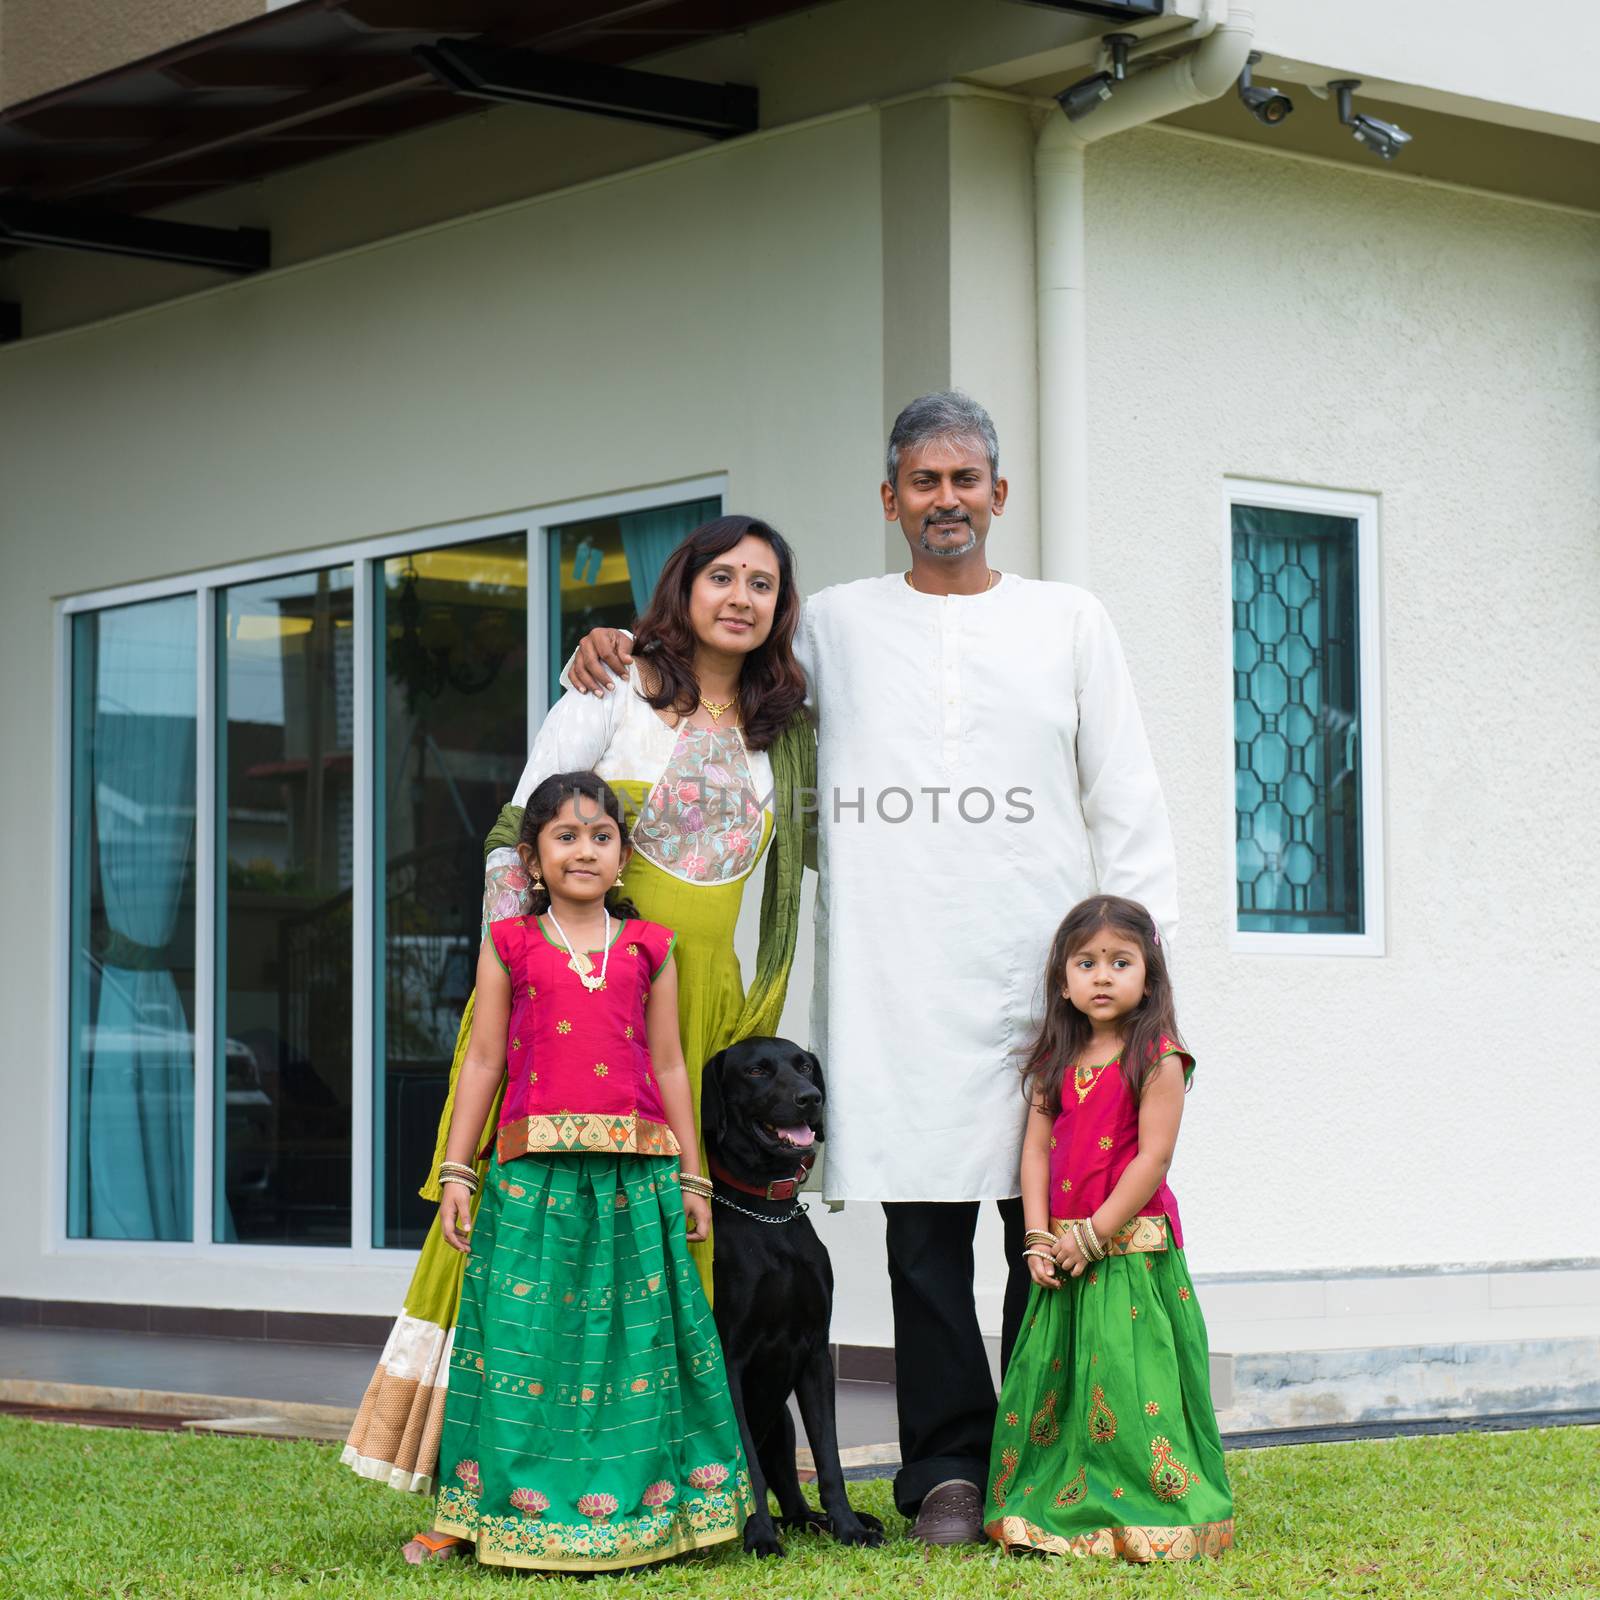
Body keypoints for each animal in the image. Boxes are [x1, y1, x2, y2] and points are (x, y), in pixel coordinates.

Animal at [704, 1030, 889, 1555]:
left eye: (804, 1066)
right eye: (756, 1071)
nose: (811, 1099)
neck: (770, 1219)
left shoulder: (815, 1353)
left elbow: (829, 1459)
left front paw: (848, 1528)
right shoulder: (729, 1360)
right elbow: (747, 1467)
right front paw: (761, 1538)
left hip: (784, 1427)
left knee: (792, 1494)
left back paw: (821, 1522)